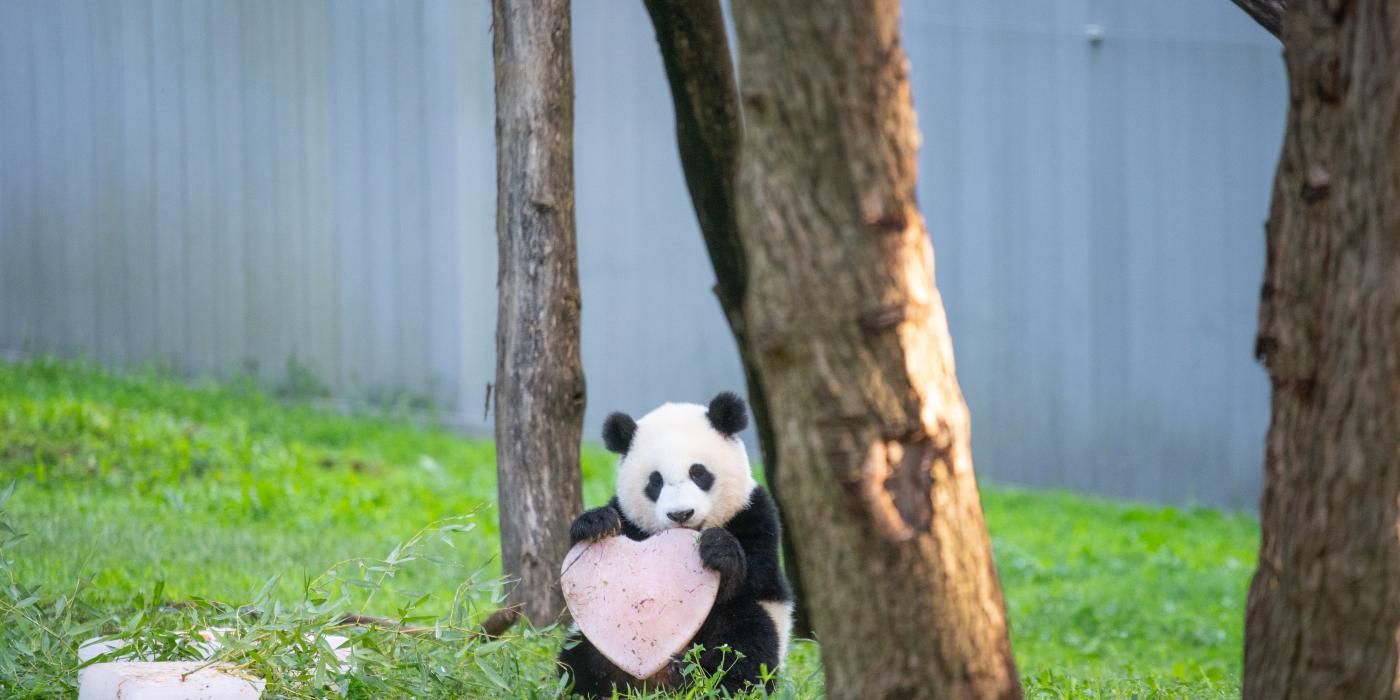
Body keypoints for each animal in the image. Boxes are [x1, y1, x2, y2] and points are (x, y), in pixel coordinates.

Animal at [560, 394, 800, 694]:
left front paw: (718, 550)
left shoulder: (755, 514)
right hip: (591, 637)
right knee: (577, 660)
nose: (681, 514)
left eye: (698, 472)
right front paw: (596, 523)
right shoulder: (629, 519)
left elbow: (755, 577)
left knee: (746, 639)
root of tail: (655, 682)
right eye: (655, 481)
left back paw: (709, 680)